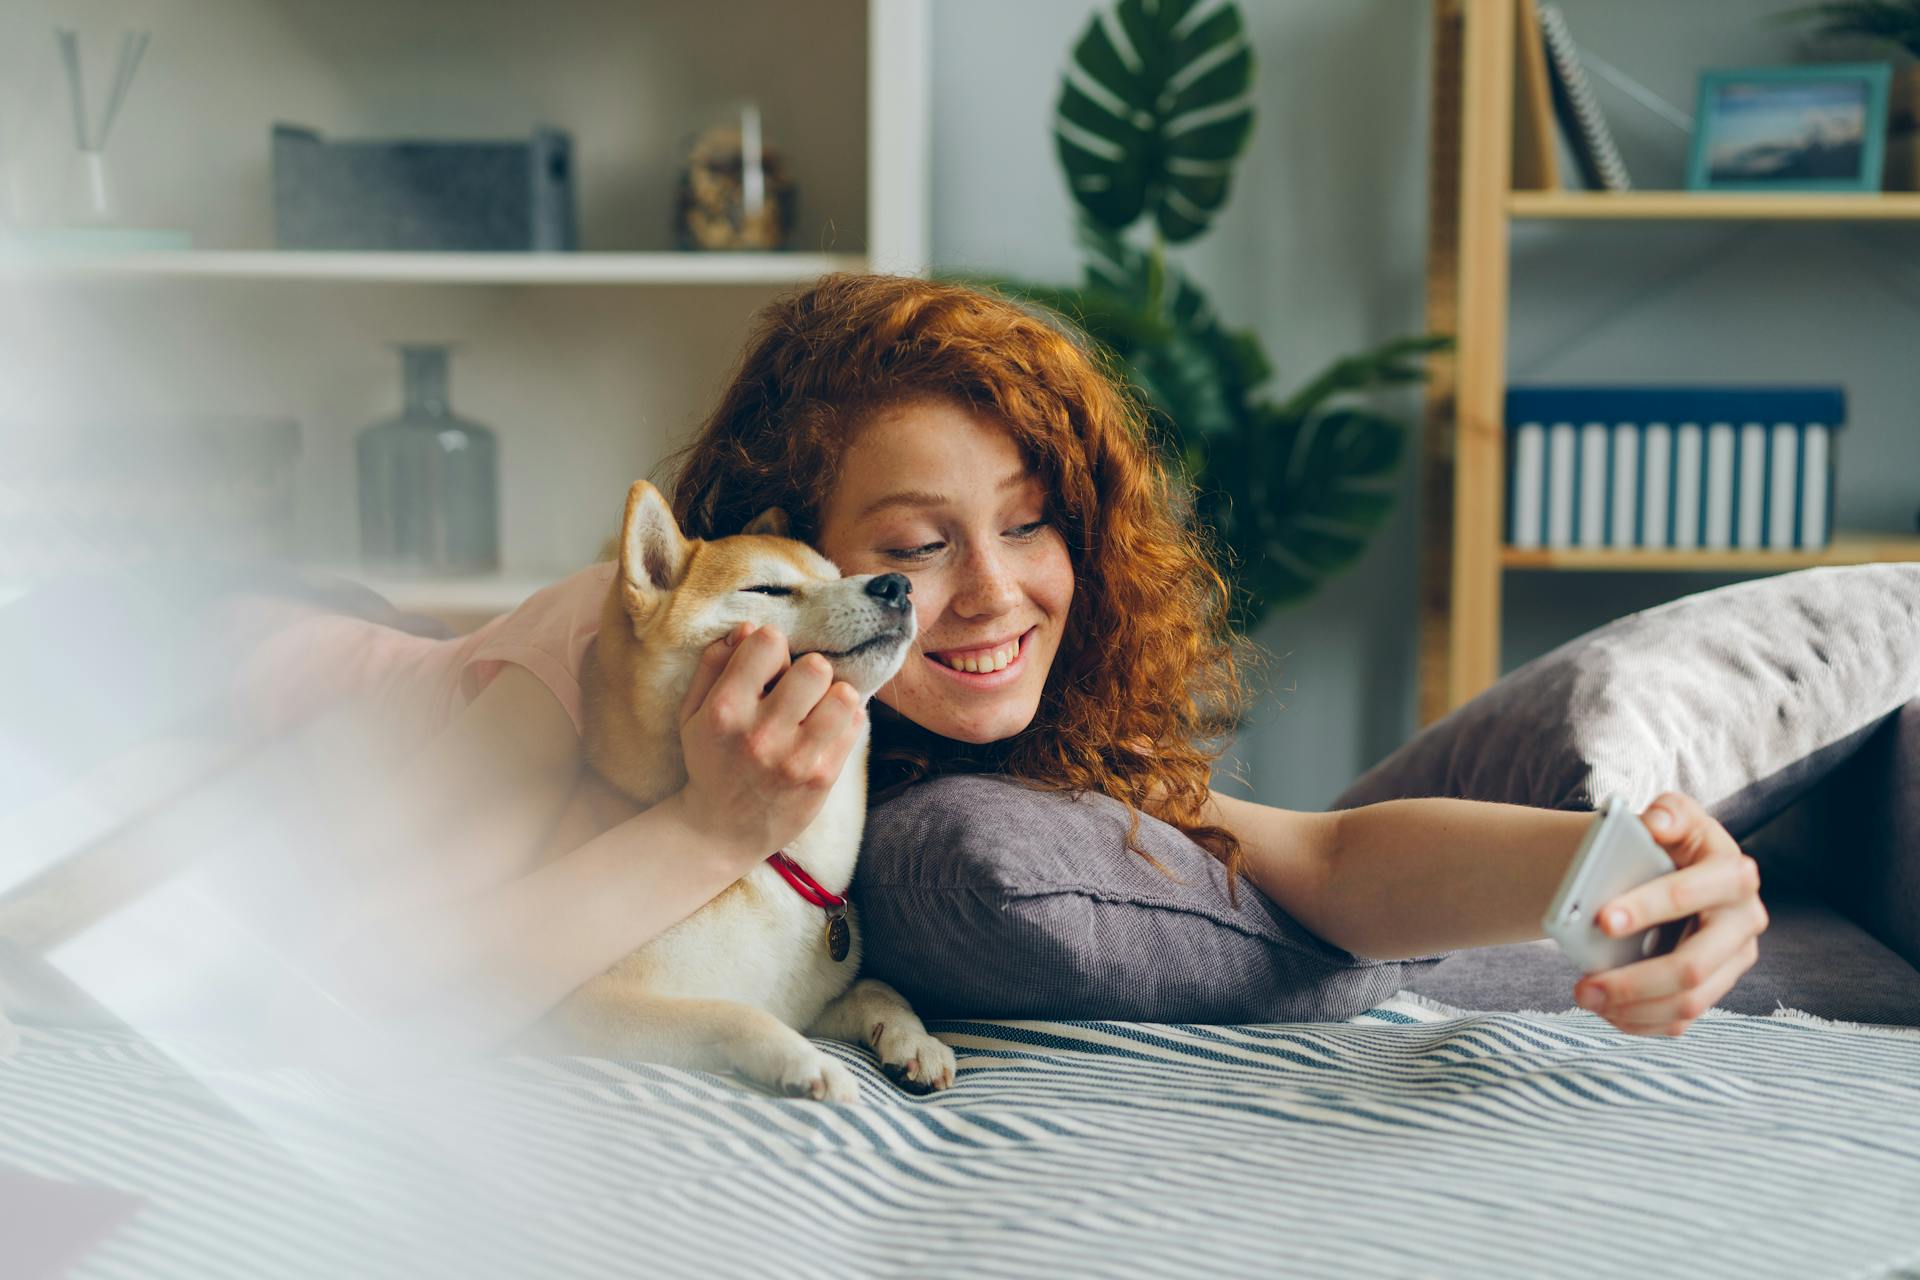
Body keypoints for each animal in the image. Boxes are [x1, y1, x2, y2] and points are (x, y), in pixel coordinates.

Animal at [529, 479, 956, 1105]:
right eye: (768, 589)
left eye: (835, 574)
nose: (896, 585)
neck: (768, 862)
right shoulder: (579, 1009)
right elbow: (733, 1012)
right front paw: (804, 1060)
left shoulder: (807, 1000)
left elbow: (877, 988)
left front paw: (914, 1039)